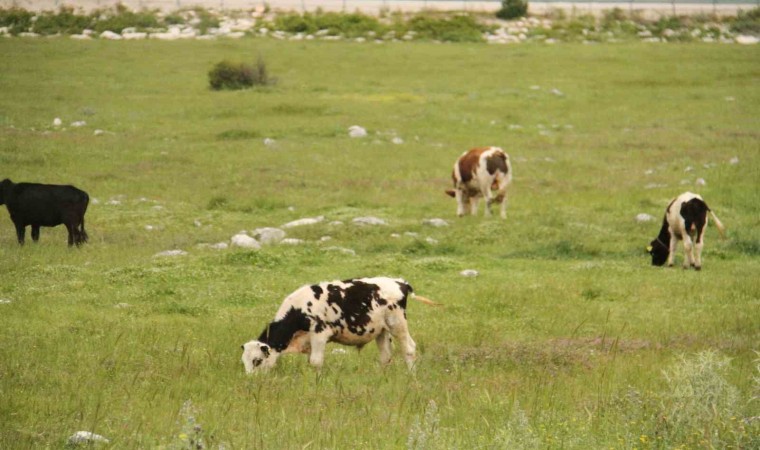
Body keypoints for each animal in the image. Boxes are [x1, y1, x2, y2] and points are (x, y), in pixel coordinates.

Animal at [240, 278, 436, 372]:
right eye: (244, 361)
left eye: (257, 360)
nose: (251, 381)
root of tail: (400, 282)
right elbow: (312, 360)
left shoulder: (319, 334)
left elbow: (316, 362)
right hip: (381, 330)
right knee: (386, 355)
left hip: (397, 323)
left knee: (409, 348)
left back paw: (412, 375)